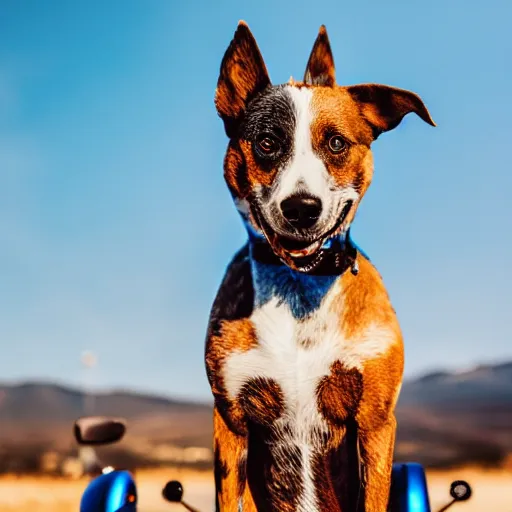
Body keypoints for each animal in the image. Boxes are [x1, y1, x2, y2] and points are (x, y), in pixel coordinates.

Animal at [205, 21, 436, 512]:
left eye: (336, 143)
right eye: (267, 143)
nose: (301, 208)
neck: (300, 289)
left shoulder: (374, 421)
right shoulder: (231, 421)